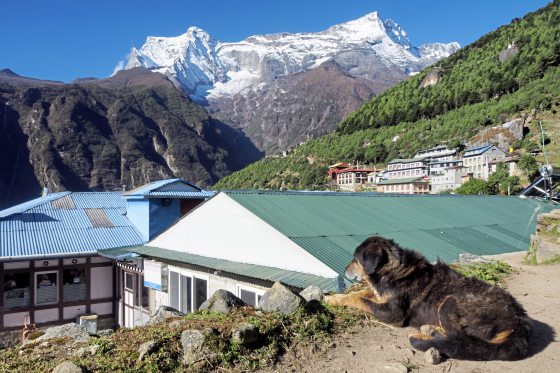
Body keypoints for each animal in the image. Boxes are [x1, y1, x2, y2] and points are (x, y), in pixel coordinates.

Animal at [324, 235, 528, 360]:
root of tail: (518, 321)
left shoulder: (393, 314)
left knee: (460, 339)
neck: (393, 269)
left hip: (449, 302)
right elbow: (358, 294)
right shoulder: (380, 295)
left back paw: (426, 335)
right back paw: (431, 329)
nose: (344, 270)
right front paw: (334, 299)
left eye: (356, 258)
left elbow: (361, 300)